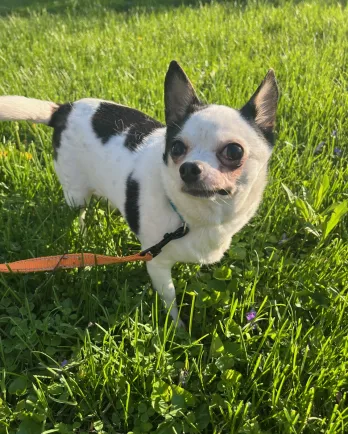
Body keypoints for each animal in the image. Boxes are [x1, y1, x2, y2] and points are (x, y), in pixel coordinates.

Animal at [0, 62, 278, 326]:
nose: (188, 168)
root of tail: (63, 109)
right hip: (76, 192)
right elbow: (170, 300)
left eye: (234, 151)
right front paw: (178, 330)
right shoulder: (157, 265)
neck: (193, 218)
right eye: (176, 148)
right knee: (80, 213)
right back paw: (83, 234)